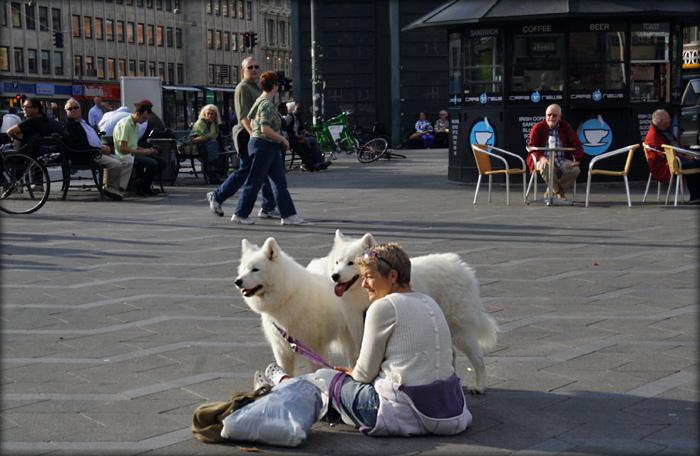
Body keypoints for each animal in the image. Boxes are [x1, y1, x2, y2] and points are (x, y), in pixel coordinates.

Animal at [235, 237, 360, 376]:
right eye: (243, 269)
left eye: (255, 269)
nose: (237, 281)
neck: (287, 297)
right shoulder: (282, 349)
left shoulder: (314, 348)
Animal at [308, 230, 498, 394]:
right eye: (337, 262)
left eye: (351, 263)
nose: (334, 276)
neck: (363, 297)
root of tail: (463, 268)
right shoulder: (356, 329)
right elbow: (358, 357)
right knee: (452, 354)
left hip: (460, 331)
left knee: (478, 359)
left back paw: (479, 387)